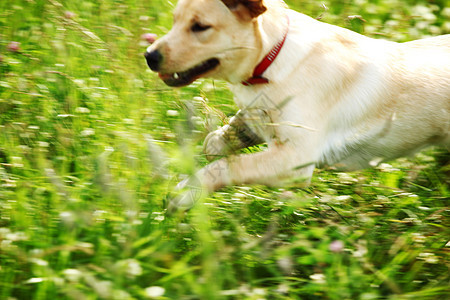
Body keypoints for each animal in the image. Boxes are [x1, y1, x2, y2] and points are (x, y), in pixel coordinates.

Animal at [145, 0, 450, 212]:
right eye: (175, 20)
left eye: (200, 27)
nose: (149, 56)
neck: (271, 58)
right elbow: (225, 138)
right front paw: (221, 140)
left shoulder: (295, 161)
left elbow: (227, 167)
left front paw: (185, 192)